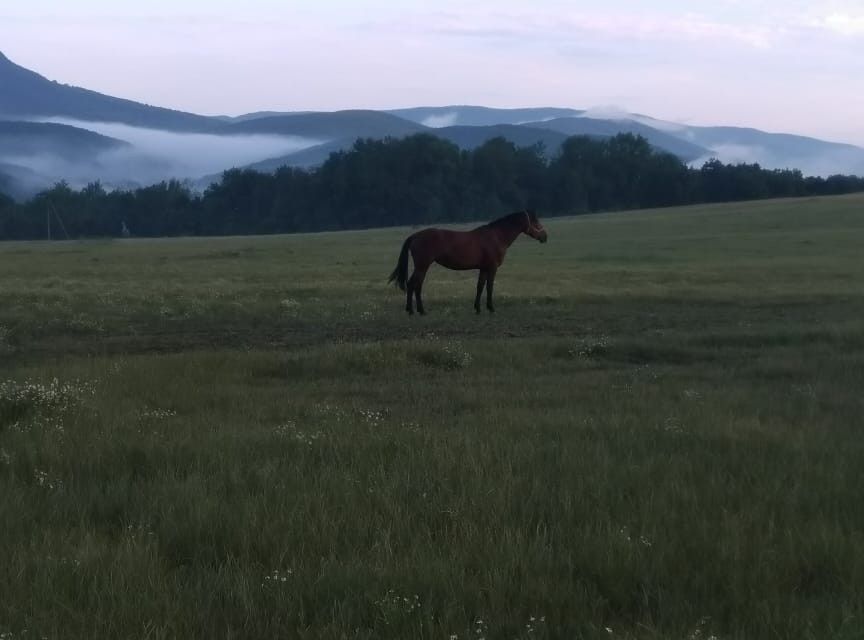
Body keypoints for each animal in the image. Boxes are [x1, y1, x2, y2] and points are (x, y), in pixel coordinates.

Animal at [390, 210, 548, 316]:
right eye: (536, 222)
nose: (545, 237)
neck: (496, 236)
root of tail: (415, 236)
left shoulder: (483, 268)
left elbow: (480, 287)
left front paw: (477, 308)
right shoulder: (492, 268)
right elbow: (489, 287)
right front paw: (491, 308)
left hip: (422, 267)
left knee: (416, 286)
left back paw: (416, 310)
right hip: (422, 266)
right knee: (413, 285)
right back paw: (415, 311)